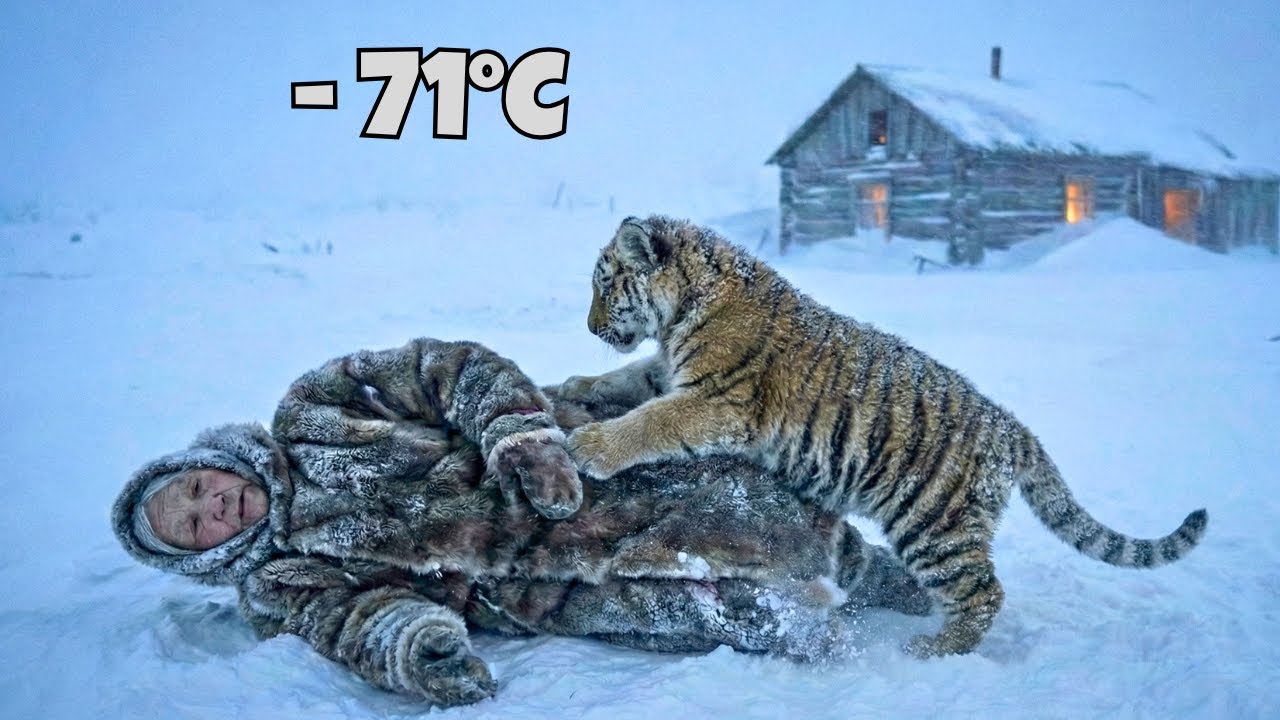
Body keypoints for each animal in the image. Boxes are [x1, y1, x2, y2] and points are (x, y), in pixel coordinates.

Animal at [565, 214, 1208, 658]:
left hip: (936, 526)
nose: (591, 328)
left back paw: (933, 651)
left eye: (605, 284)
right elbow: (633, 376)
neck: (684, 310)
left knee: (984, 594)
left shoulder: (717, 401)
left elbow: (652, 420)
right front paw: (580, 383)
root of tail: (1011, 427)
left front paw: (591, 446)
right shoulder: (672, 373)